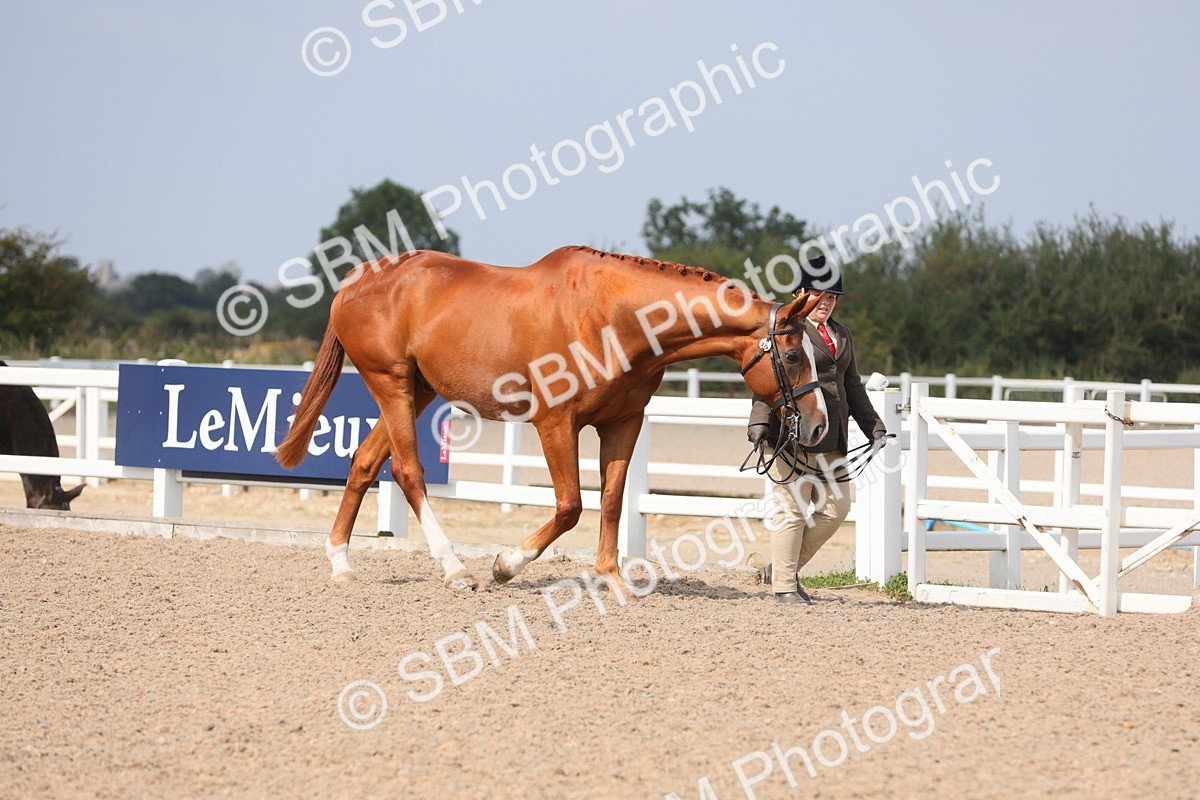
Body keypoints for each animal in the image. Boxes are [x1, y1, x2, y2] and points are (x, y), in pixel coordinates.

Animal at [275, 245, 827, 596]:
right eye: (793, 354)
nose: (819, 425)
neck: (615, 317)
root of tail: (358, 279)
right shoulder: (556, 424)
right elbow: (570, 506)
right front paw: (504, 566)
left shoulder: (623, 423)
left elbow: (611, 500)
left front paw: (613, 580)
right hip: (389, 383)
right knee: (407, 472)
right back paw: (456, 570)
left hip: (418, 390)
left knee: (364, 463)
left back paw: (341, 564)